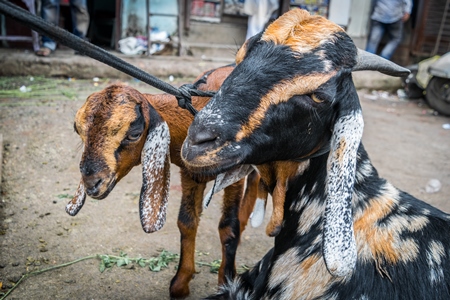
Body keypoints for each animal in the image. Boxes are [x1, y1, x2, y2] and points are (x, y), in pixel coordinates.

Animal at [62, 65, 260, 298]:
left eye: (134, 133)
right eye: (78, 130)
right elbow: (186, 223)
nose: (92, 183)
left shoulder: (233, 175)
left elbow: (228, 228)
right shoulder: (189, 174)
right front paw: (180, 283)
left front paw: (226, 283)